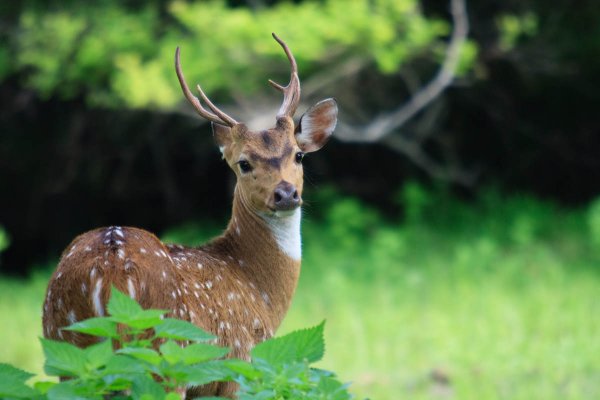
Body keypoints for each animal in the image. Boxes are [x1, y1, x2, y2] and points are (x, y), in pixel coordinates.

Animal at [42, 33, 340, 396]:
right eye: (244, 163)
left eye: (298, 155)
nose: (286, 194)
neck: (260, 291)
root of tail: (107, 273)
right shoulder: (241, 365)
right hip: (164, 358)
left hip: (66, 352)